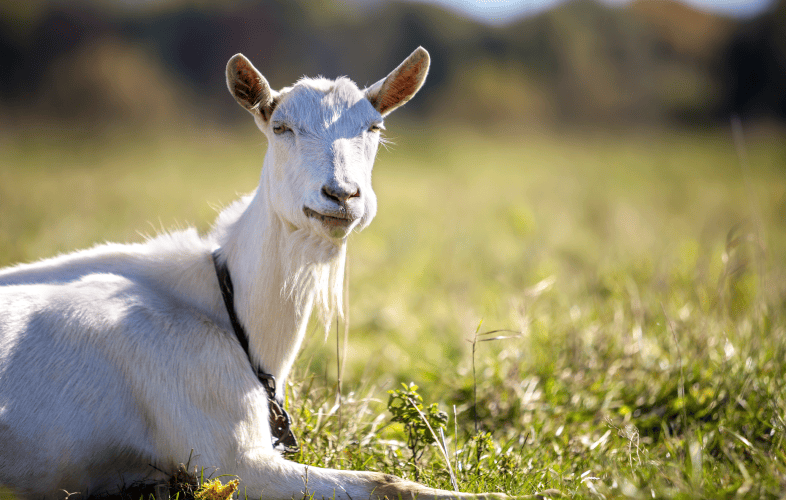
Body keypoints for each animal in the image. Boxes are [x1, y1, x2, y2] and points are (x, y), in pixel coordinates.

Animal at [0, 48, 508, 500]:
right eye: (280, 127)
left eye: (375, 127)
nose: (341, 195)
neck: (228, 307)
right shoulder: (228, 451)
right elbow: (387, 482)